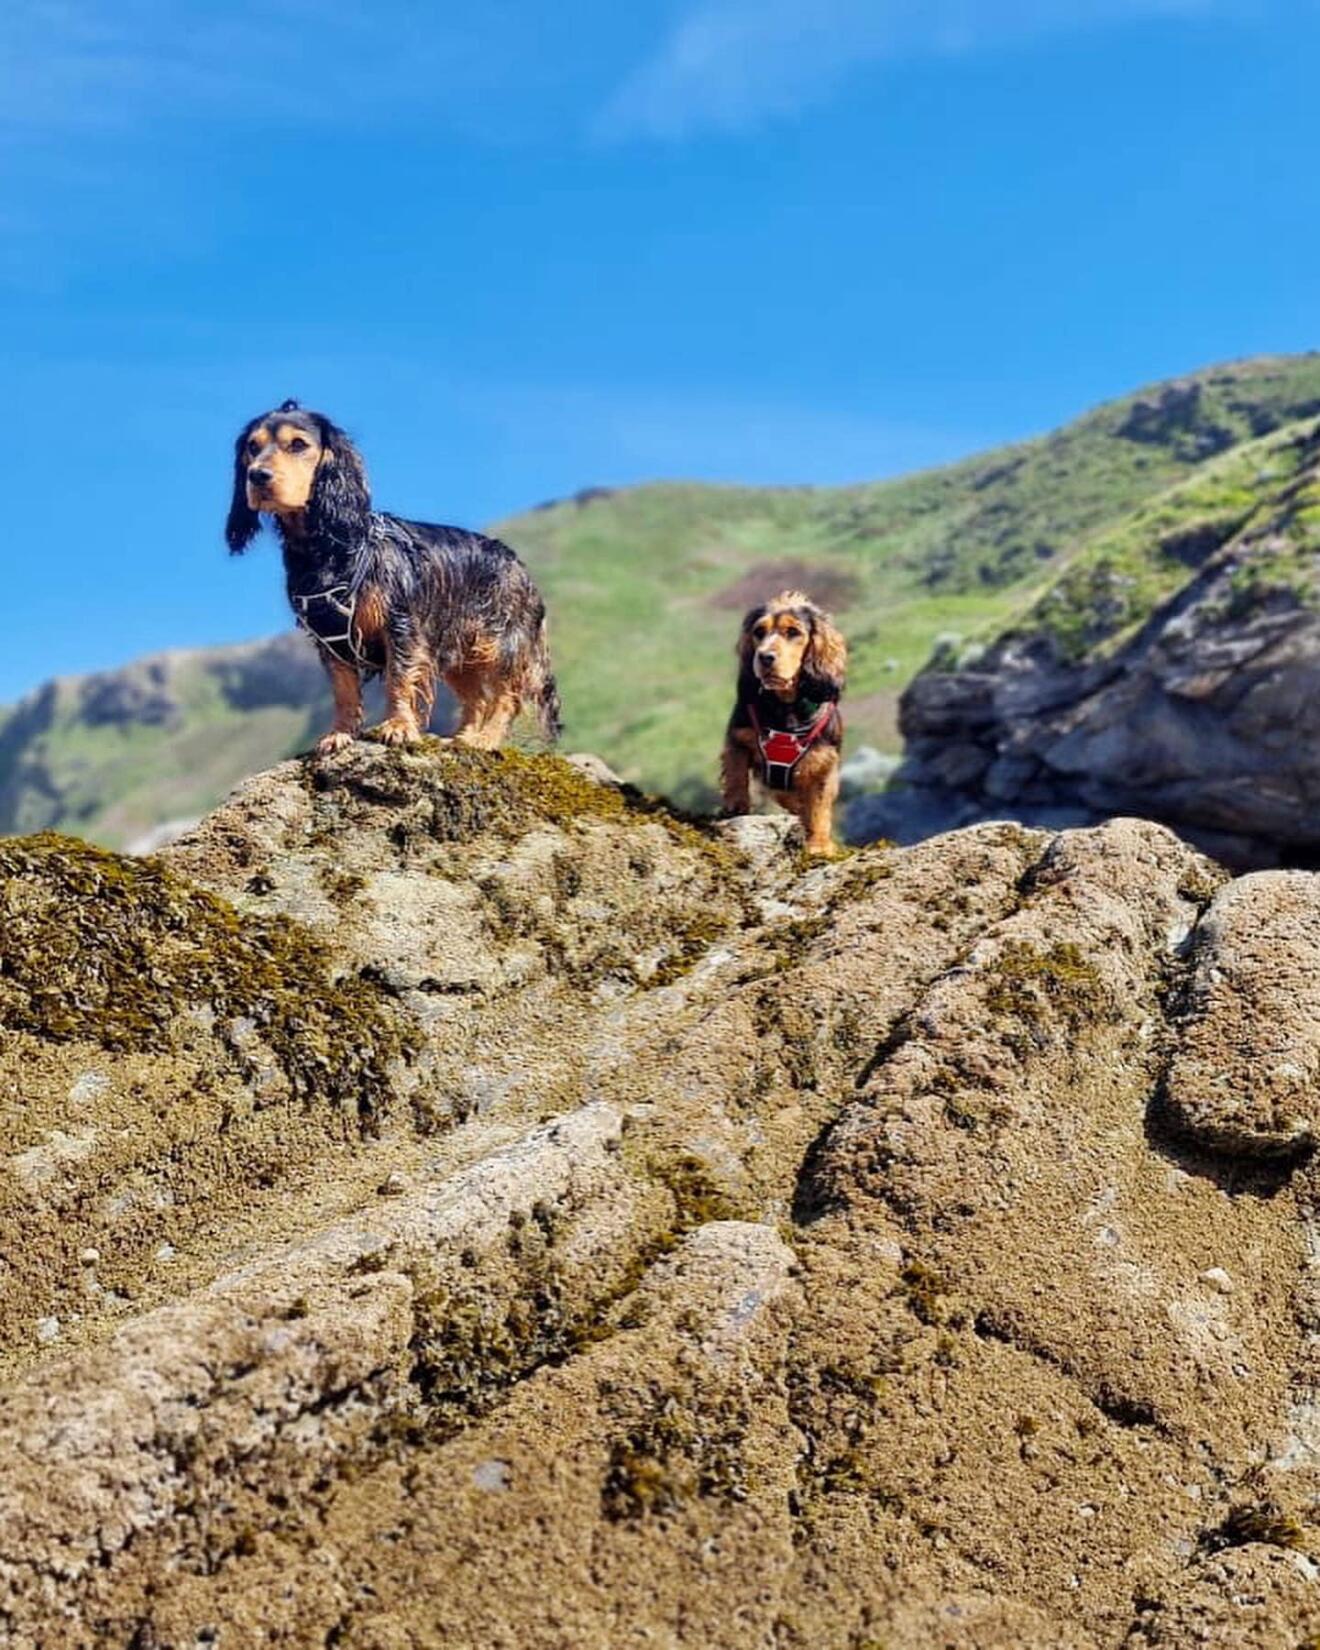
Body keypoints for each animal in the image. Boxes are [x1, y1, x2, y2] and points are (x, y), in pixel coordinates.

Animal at [224, 402, 561, 752]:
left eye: (298, 444)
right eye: (252, 447)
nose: (257, 475)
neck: (328, 546)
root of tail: (519, 565)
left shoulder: (400, 625)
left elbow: (399, 679)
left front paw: (398, 726)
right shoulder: (329, 639)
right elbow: (344, 691)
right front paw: (340, 732)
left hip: (500, 642)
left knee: (508, 696)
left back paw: (486, 738)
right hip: (458, 650)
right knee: (477, 698)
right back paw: (462, 737)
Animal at [722, 590, 844, 851]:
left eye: (793, 632)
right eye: (759, 632)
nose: (765, 657)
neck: (786, 706)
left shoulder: (823, 762)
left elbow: (819, 805)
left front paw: (819, 844)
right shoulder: (738, 736)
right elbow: (736, 771)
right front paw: (735, 805)